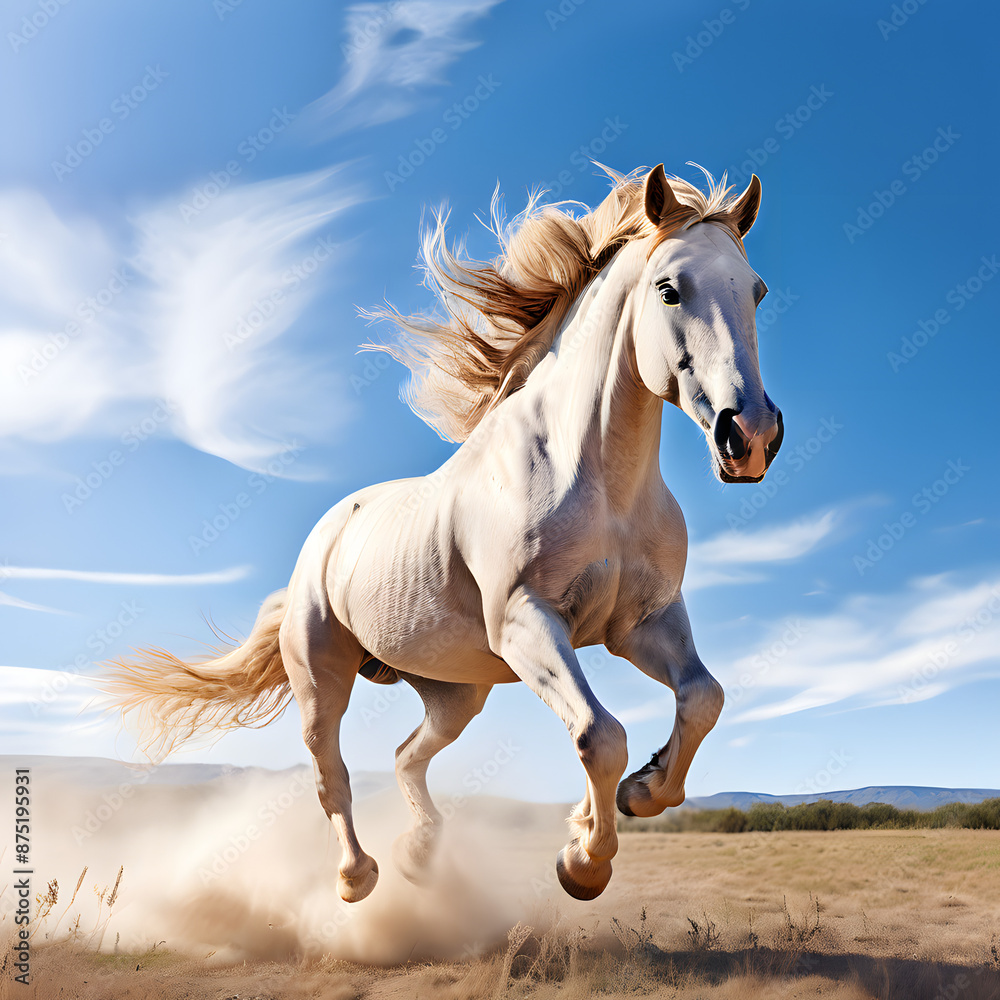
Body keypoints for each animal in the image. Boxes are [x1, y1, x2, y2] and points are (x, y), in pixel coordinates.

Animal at [105, 163, 783, 904]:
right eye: (669, 289)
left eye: (757, 290)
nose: (750, 437)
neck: (599, 480)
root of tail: (320, 544)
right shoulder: (526, 622)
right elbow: (599, 735)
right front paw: (583, 863)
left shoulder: (641, 622)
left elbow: (703, 699)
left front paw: (640, 793)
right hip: (323, 678)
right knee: (331, 774)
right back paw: (358, 877)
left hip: (455, 690)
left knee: (407, 755)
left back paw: (420, 856)